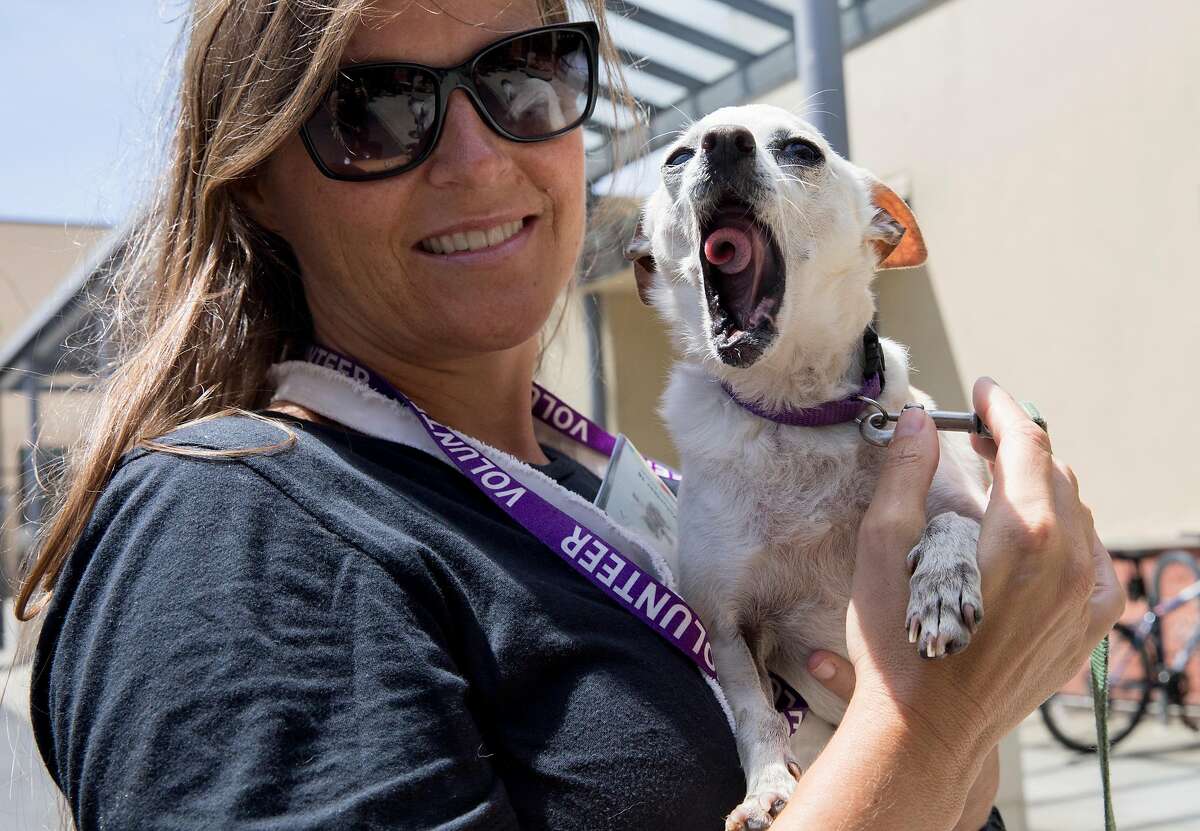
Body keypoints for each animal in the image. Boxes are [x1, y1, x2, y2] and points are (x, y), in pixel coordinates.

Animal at [628, 105, 984, 831]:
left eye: (801, 151)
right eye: (676, 158)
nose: (723, 143)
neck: (798, 417)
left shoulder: (978, 507)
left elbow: (952, 523)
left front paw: (941, 586)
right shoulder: (728, 626)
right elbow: (756, 716)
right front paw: (767, 787)